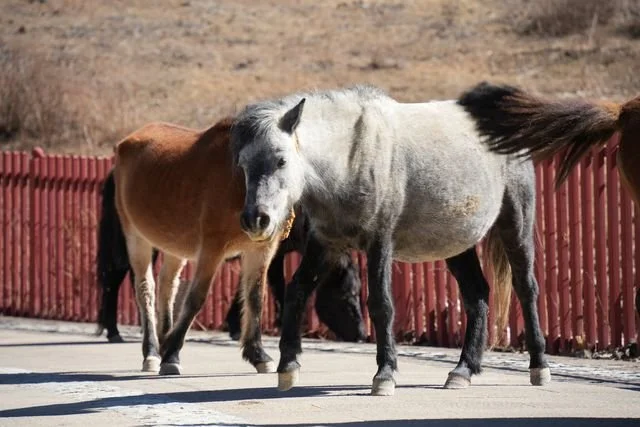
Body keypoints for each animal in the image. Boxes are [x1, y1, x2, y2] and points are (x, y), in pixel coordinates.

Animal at [95, 175, 366, 344]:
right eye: (348, 296)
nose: (362, 334)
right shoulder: (274, 255)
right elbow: (276, 287)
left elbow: (243, 289)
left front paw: (235, 325)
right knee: (116, 278)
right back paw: (114, 330)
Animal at [110, 117, 290, 376]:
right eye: (244, 164)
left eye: (282, 162)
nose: (257, 219)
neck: (237, 186)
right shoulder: (212, 249)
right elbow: (196, 297)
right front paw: (172, 355)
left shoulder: (261, 250)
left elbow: (256, 297)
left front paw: (258, 355)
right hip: (136, 237)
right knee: (145, 288)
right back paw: (153, 352)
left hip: (174, 247)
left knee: (168, 284)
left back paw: (164, 340)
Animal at [230, 84, 550, 396]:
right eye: (243, 165)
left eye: (281, 160)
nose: (256, 219)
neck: (351, 156)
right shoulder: (325, 244)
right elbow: (296, 291)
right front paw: (288, 366)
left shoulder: (379, 242)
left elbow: (381, 305)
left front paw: (385, 374)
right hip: (458, 244)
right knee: (477, 295)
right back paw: (463, 370)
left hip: (515, 224)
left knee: (526, 288)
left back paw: (539, 367)